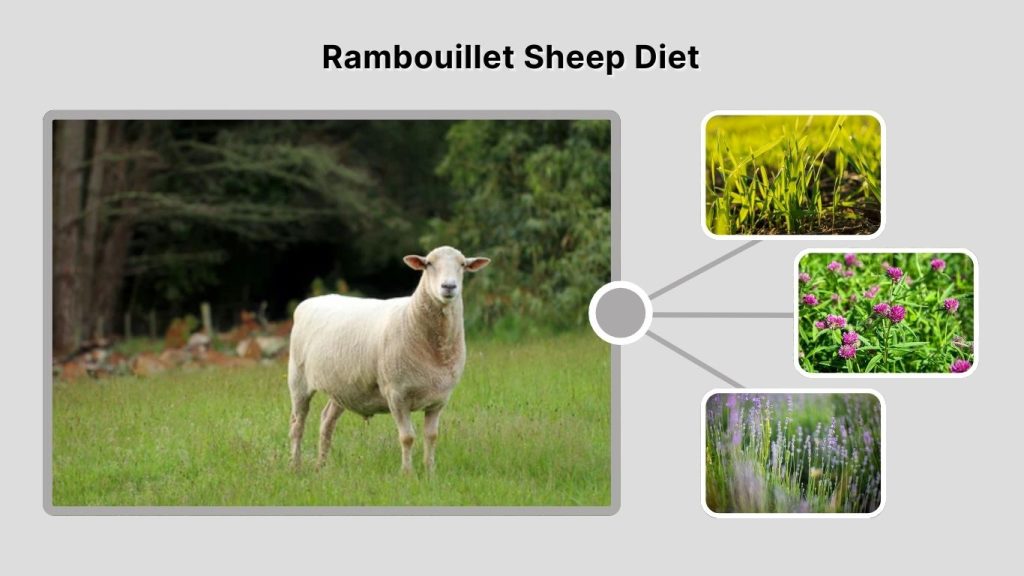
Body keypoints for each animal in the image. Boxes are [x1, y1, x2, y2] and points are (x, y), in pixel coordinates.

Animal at [287, 246, 490, 473]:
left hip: (342, 387)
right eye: (428, 264)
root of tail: (311, 301)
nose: (448, 286)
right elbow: (407, 437)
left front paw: (430, 471)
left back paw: (321, 466)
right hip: (298, 378)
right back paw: (295, 466)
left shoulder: (439, 400)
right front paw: (407, 473)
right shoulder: (396, 394)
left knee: (326, 422)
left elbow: (432, 436)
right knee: (297, 424)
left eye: (462, 264)